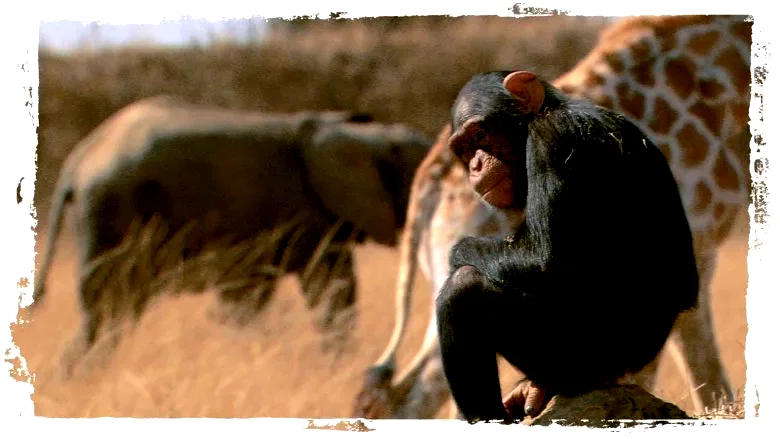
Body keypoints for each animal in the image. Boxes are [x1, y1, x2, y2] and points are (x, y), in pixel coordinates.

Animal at [31, 95, 432, 377]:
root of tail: (77, 160)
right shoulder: (303, 212)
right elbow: (325, 289)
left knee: (113, 316)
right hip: (110, 212)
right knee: (107, 314)